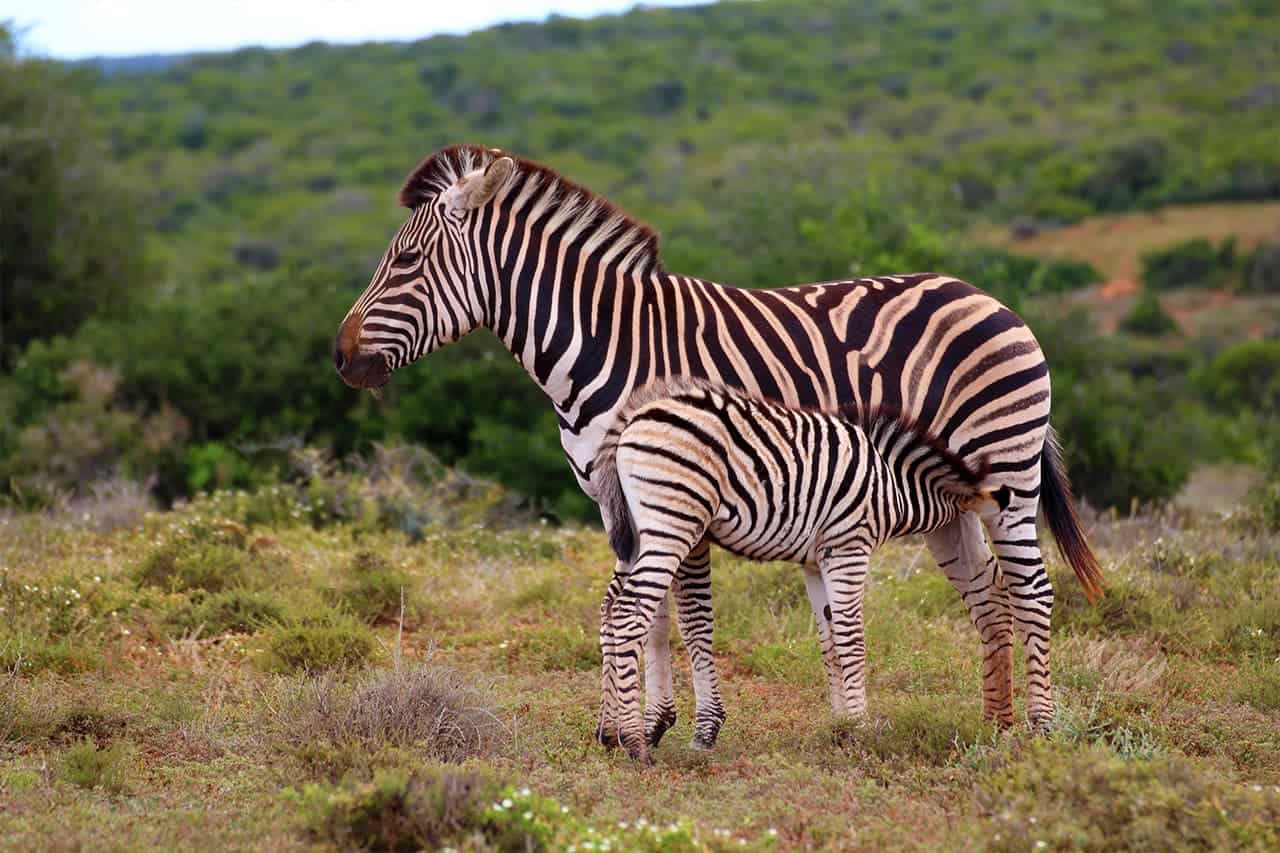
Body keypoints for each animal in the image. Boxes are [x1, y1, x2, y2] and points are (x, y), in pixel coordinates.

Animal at [588, 376, 998, 758]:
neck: (892, 483)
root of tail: (633, 417)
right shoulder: (849, 546)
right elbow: (852, 638)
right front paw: (861, 727)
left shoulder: (817, 562)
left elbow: (830, 642)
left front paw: (841, 727)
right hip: (672, 522)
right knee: (629, 611)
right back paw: (635, 745)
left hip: (637, 532)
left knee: (609, 609)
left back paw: (609, 733)